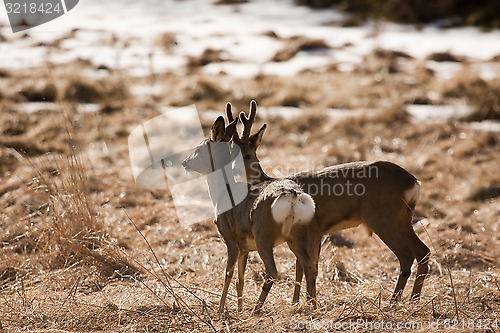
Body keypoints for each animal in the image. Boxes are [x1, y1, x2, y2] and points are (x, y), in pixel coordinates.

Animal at [182, 114, 318, 312]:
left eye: (199, 149)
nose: (185, 163)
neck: (222, 193)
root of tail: (292, 195)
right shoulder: (244, 245)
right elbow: (240, 279)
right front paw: (238, 309)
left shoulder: (230, 238)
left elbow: (228, 274)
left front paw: (221, 309)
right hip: (298, 234)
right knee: (309, 265)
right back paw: (313, 305)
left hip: (263, 235)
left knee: (272, 271)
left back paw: (257, 308)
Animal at [226, 100, 430, 304]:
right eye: (230, 154)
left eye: (248, 155)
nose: (232, 173)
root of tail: (413, 182)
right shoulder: (317, 232)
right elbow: (305, 266)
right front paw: (299, 302)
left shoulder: (311, 229)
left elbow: (305, 266)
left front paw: (303, 302)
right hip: (403, 218)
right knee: (423, 251)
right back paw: (414, 299)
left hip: (381, 217)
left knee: (406, 255)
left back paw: (394, 302)